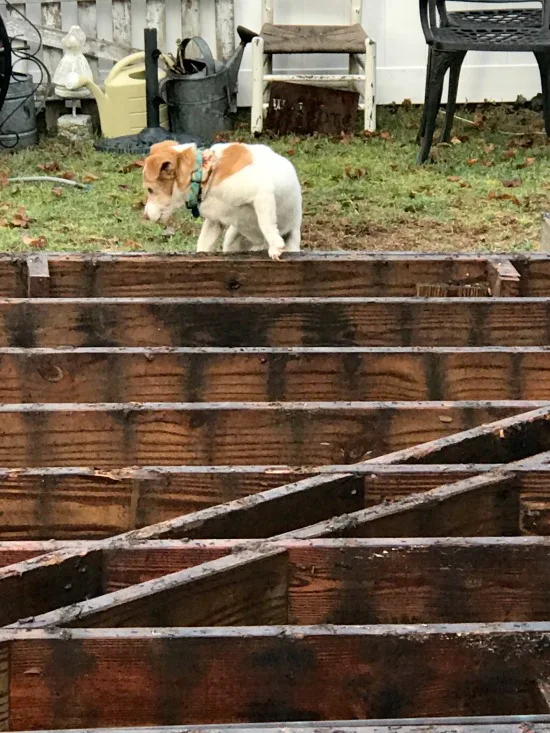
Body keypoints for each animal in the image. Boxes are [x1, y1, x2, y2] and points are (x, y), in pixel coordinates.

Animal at [142, 140, 304, 260]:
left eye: (150, 190)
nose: (145, 217)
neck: (205, 174)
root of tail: (258, 244)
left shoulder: (262, 192)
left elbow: (266, 224)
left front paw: (275, 245)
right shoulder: (214, 222)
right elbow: (203, 245)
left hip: (292, 242)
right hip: (231, 239)